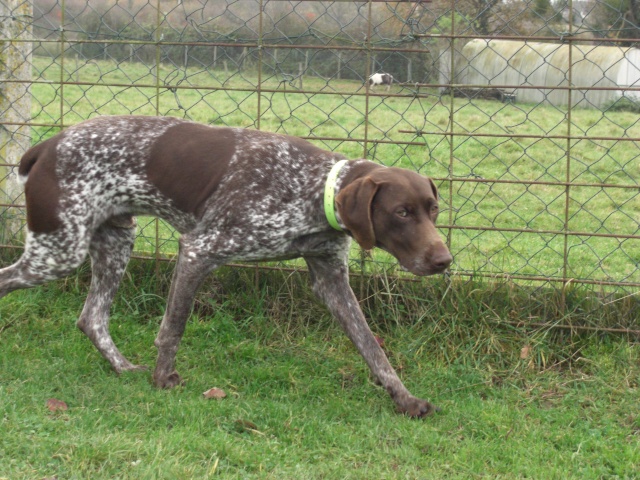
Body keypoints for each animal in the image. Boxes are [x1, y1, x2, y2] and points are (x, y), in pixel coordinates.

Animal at [0, 116, 452, 416]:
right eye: (402, 212)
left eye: (433, 209)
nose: (444, 260)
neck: (312, 187)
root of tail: (46, 146)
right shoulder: (198, 251)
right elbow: (173, 328)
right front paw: (164, 380)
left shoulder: (331, 280)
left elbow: (372, 348)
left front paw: (404, 398)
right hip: (57, 252)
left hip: (114, 241)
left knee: (91, 318)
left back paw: (122, 367)